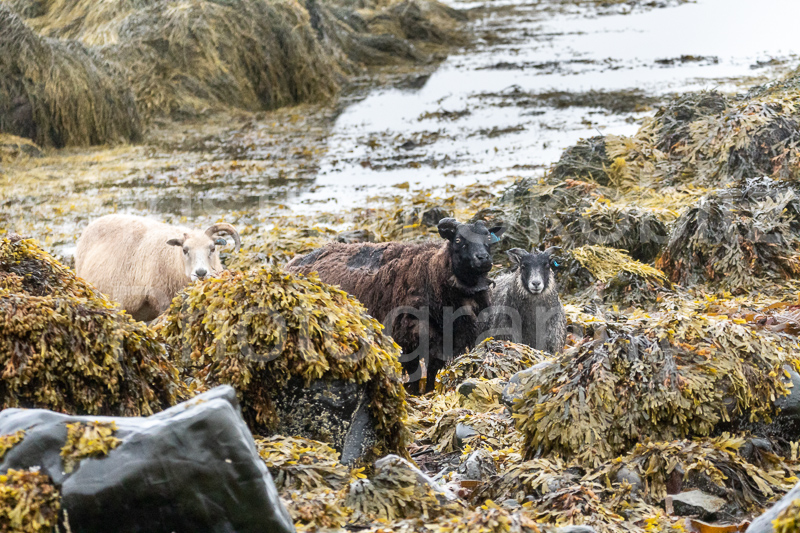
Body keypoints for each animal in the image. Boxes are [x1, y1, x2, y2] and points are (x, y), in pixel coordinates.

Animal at [286, 218, 505, 392]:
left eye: (488, 239)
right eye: (458, 240)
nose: (483, 258)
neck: (432, 272)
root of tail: (290, 263)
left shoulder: (443, 340)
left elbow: (431, 372)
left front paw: (429, 392)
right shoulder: (407, 338)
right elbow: (415, 374)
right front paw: (414, 393)